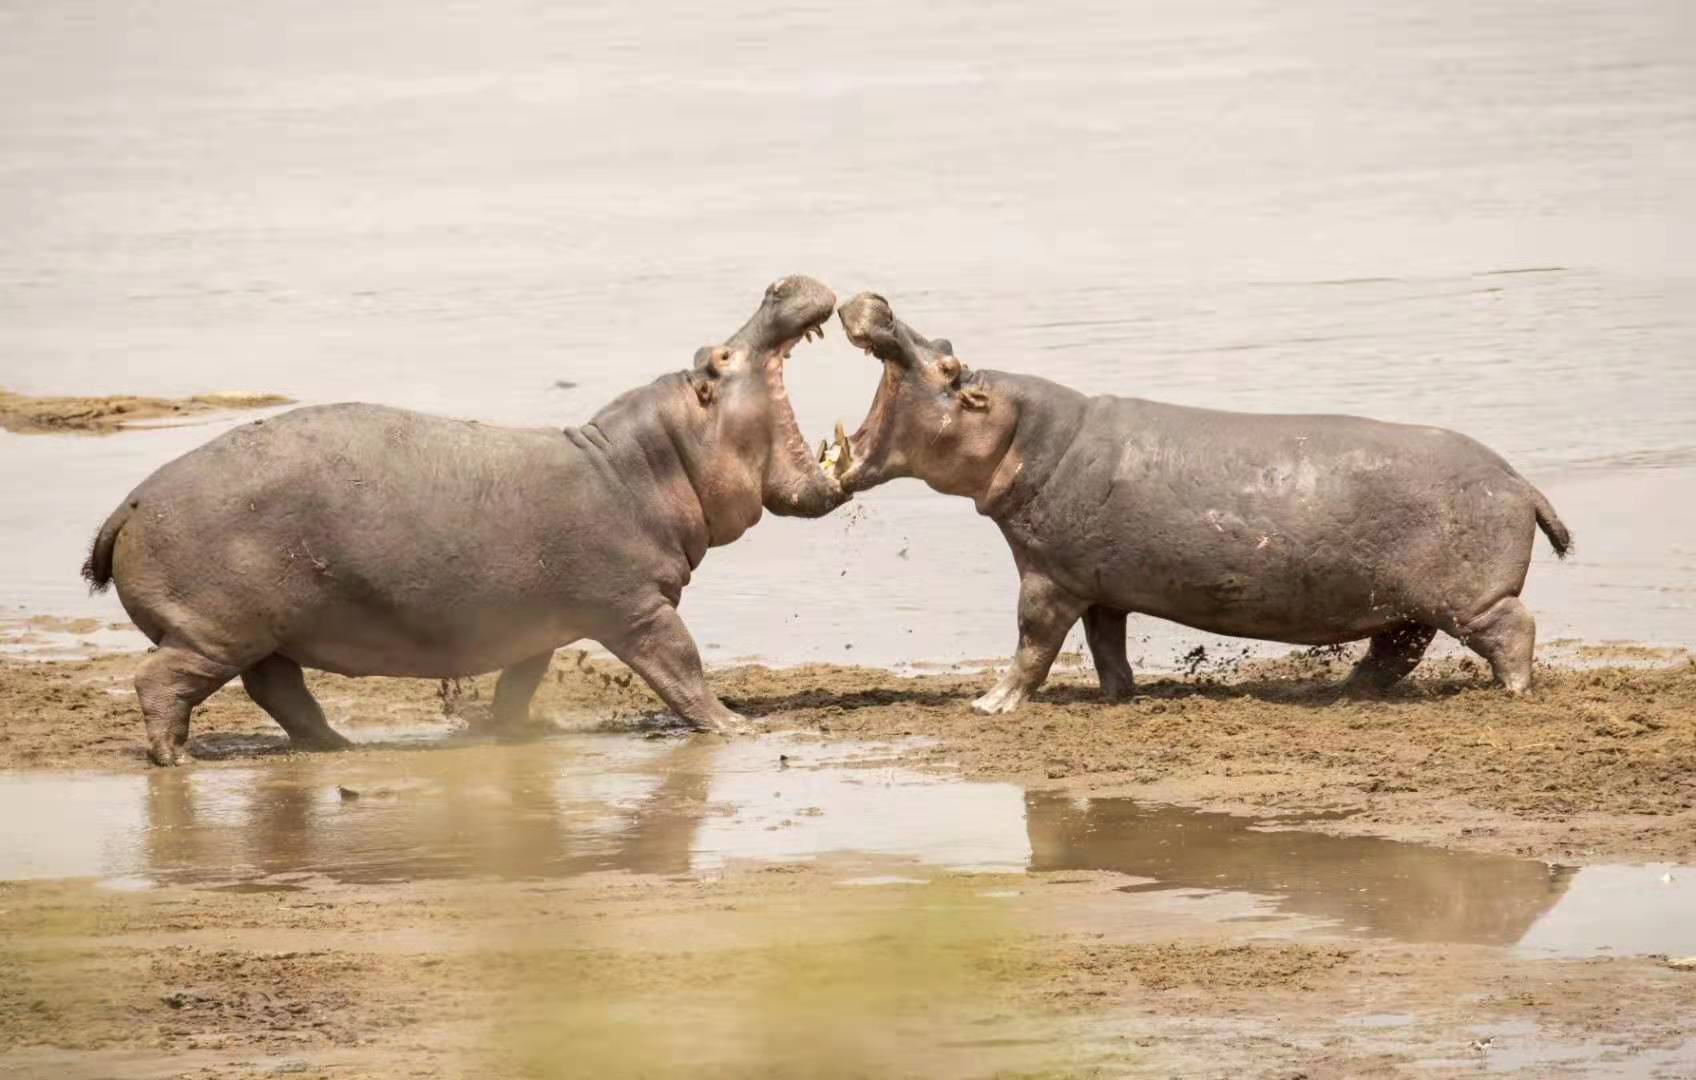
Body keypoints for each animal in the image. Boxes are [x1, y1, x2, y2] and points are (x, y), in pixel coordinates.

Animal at [85, 275, 846, 764]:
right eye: (719, 357)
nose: (779, 283)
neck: (645, 465)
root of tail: (131, 502)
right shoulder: (637, 609)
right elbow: (683, 666)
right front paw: (734, 726)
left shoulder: (539, 623)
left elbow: (519, 681)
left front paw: (502, 731)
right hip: (216, 629)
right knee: (164, 682)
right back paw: (176, 761)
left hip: (265, 634)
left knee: (278, 689)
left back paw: (339, 747)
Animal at [823, 292, 1571, 712]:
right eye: (948, 346)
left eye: (948, 366)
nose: (879, 301)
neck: (1023, 435)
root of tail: (1519, 481)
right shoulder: (1097, 583)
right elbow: (1106, 644)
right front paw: (1120, 697)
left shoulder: (1047, 576)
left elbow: (1032, 643)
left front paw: (989, 704)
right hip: (1407, 603)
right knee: (1395, 650)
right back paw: (1344, 695)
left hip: (1468, 600)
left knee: (1513, 630)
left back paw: (1512, 694)